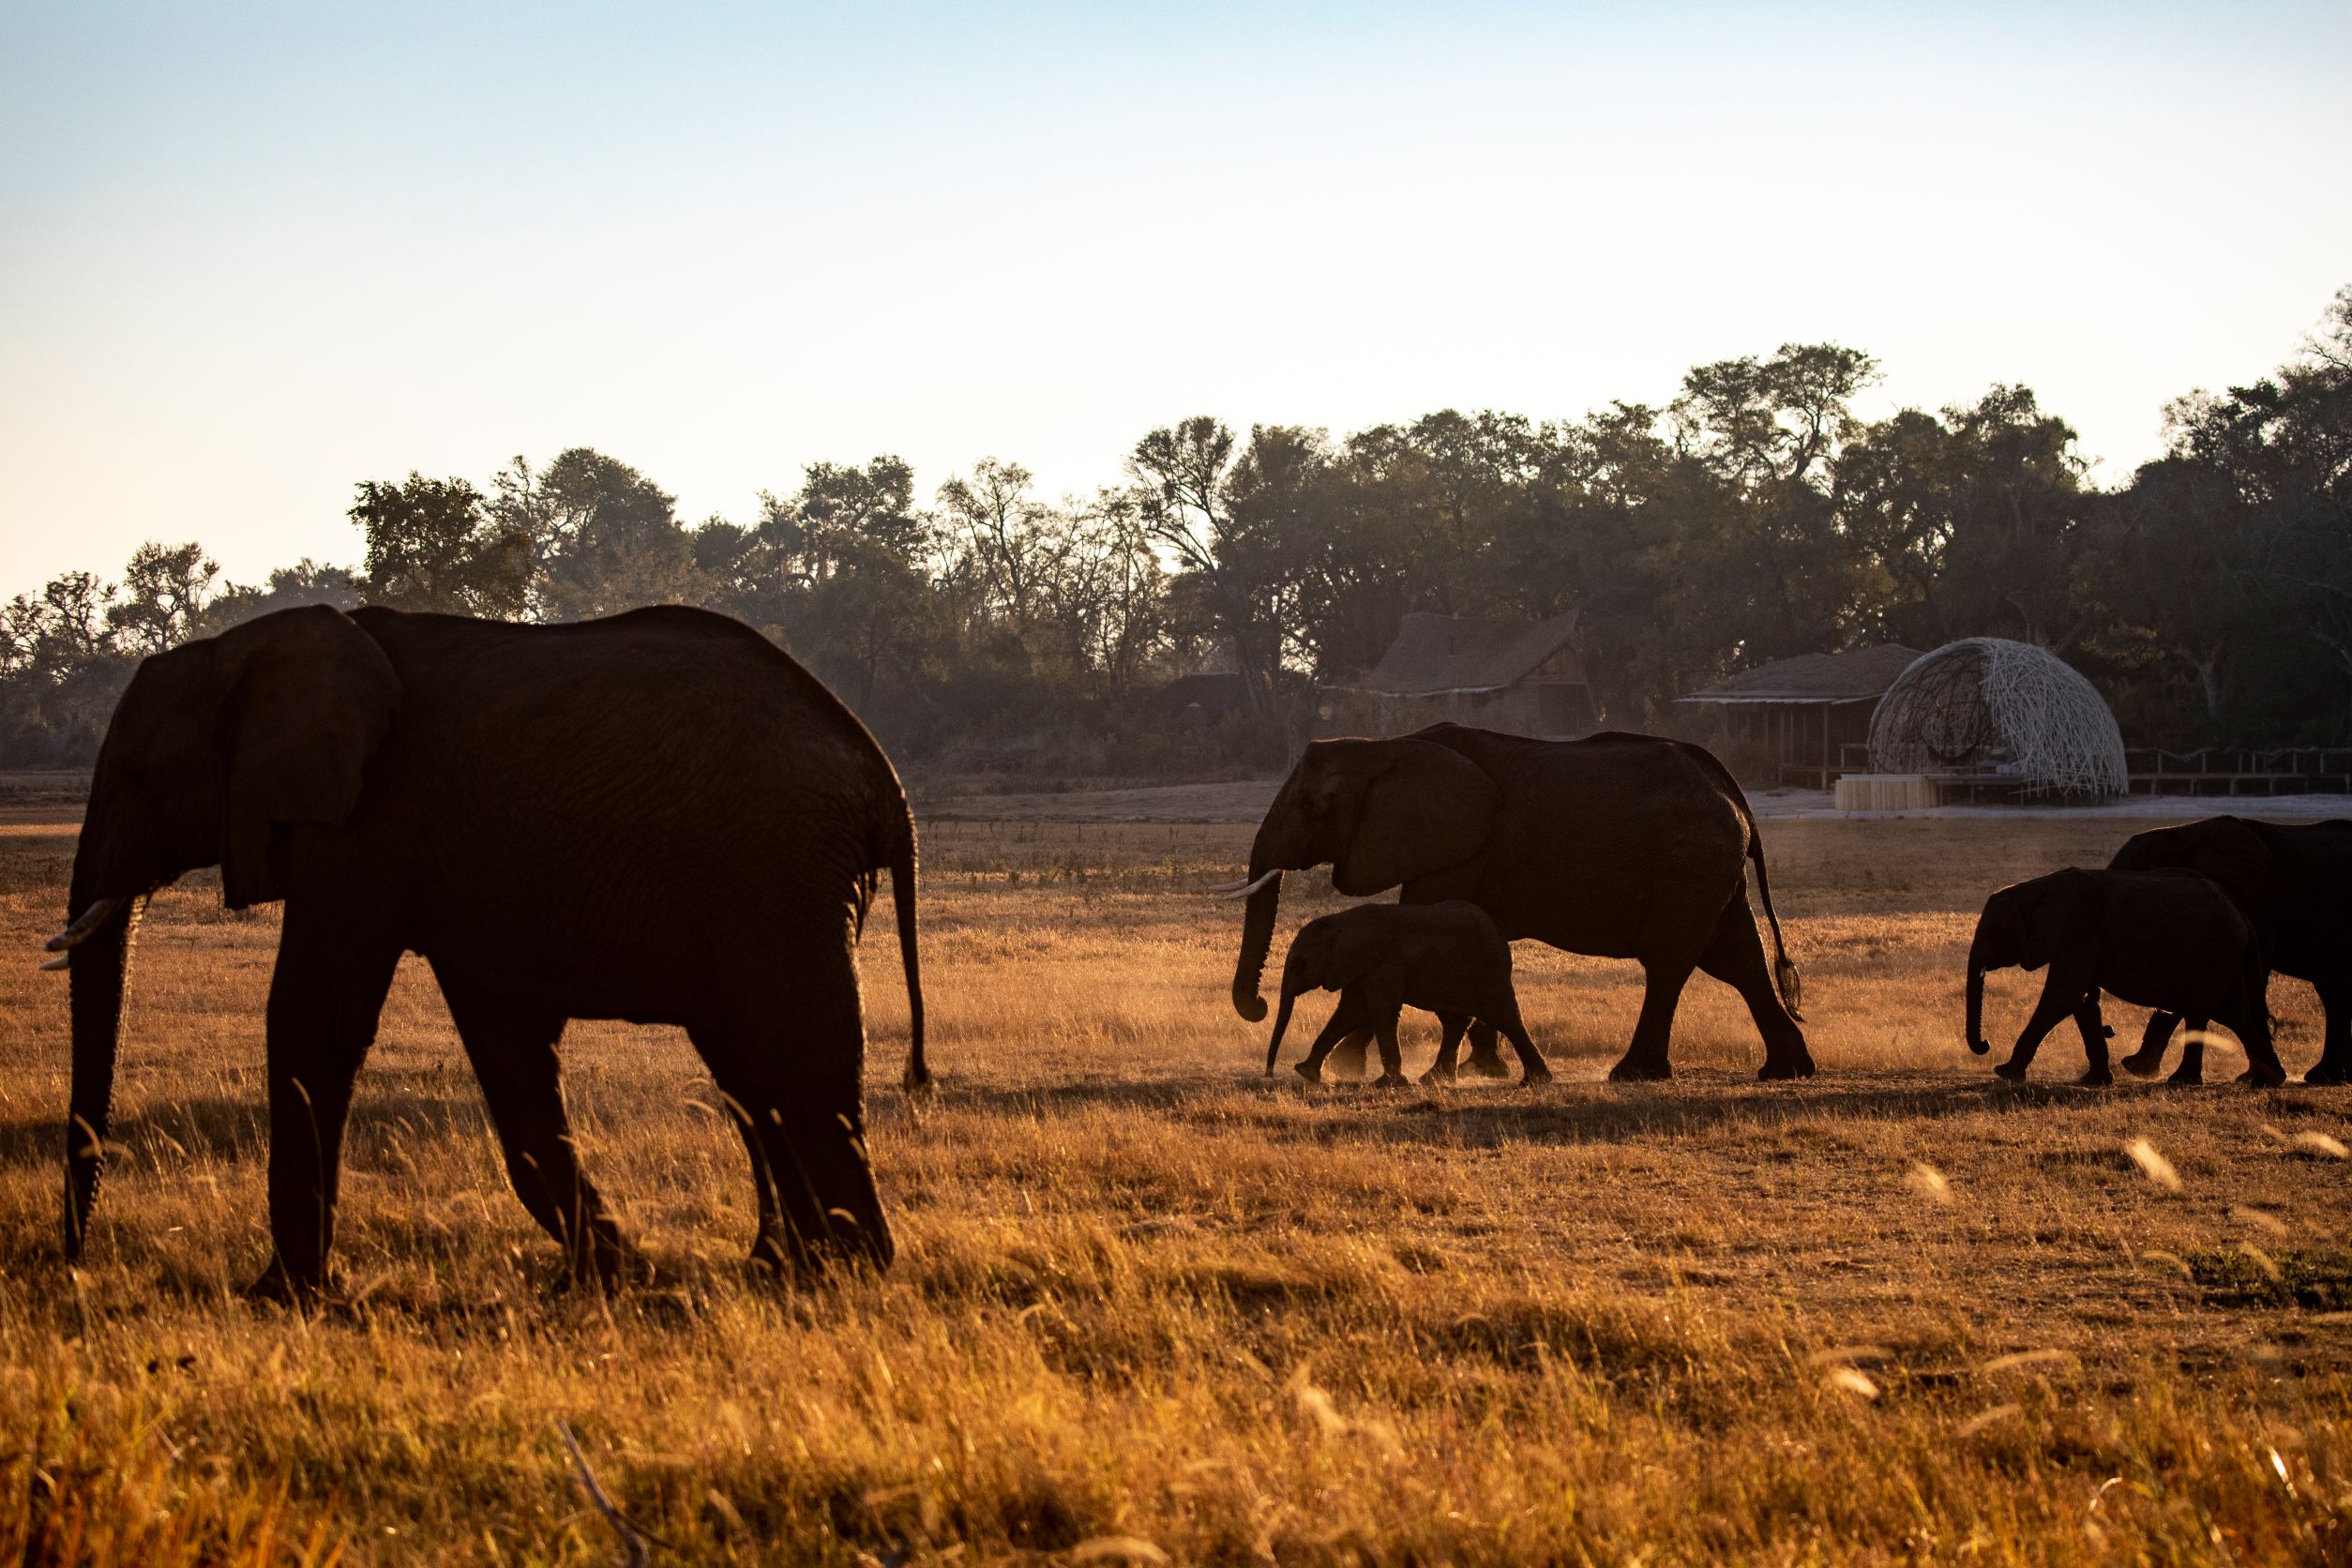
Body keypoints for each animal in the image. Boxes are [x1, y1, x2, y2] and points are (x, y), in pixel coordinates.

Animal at [45, 601, 927, 1297]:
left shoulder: (366, 824)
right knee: (752, 1070)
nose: (73, 1262)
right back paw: (790, 1268)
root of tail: (886, 784)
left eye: (138, 775)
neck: (241, 649)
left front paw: (281, 1297)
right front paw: (611, 1273)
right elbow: (508, 1046)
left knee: (797, 1056)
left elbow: (315, 1018)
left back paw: (853, 1267)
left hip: (781, 868)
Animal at [1270, 902, 1543, 1086]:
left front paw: (1388, 1083)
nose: (1268, 1073)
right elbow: (1349, 1013)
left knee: (1506, 1018)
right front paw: (1306, 1072)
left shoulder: (1385, 965)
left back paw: (1535, 1082)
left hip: (1488, 970)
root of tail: (1498, 933)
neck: (1341, 921)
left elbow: (1380, 1013)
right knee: (1455, 1021)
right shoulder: (1360, 965)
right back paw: (1434, 1080)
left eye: (1301, 964)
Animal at [1966, 865, 2276, 1086]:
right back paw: (2268, 1080)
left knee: (2202, 1012)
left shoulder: (2084, 936)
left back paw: (2182, 1081)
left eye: (1995, 931)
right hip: (2225, 954)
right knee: (2233, 1013)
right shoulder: (2080, 941)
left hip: (2216, 950)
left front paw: (2005, 1073)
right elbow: (2083, 1001)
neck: (2035, 889)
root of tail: (2240, 913)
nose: (1985, 1044)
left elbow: (2061, 998)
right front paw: (2095, 1081)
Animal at [2107, 818, 2352, 1086]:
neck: (2183, 834)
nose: (2110, 1031)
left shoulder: (2256, 904)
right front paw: (2139, 1068)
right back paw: (2326, 1077)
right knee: (2333, 993)